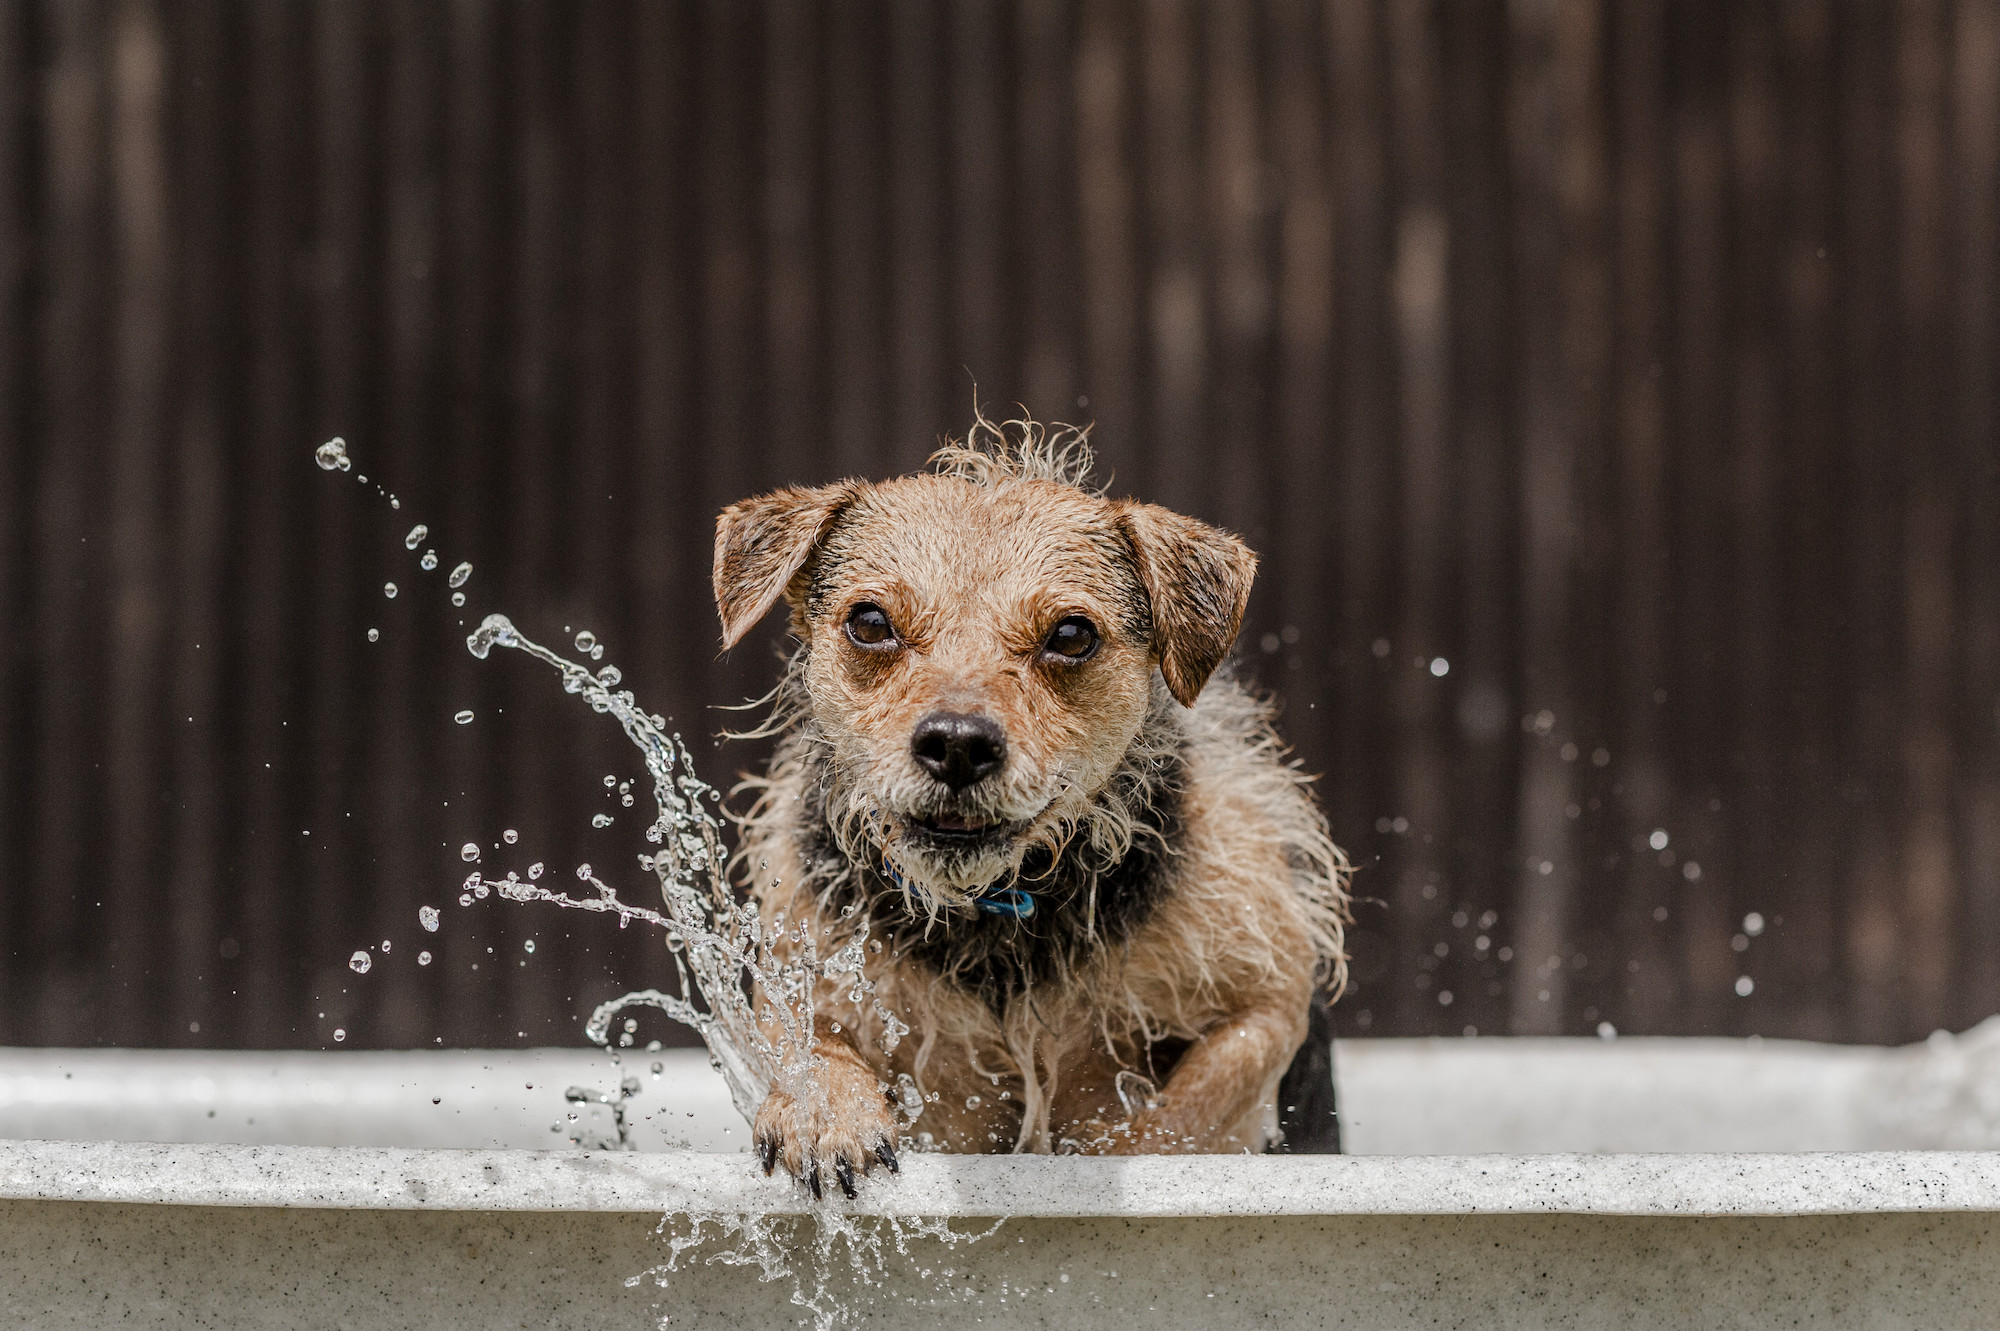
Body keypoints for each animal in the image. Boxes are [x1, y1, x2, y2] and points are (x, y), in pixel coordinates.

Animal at [712, 411, 1352, 1191]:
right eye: (869, 622)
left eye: (1071, 635)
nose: (958, 744)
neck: (1000, 914)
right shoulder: (800, 966)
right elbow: (805, 1041)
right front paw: (824, 1114)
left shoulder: (1268, 998)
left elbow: (1188, 1109)